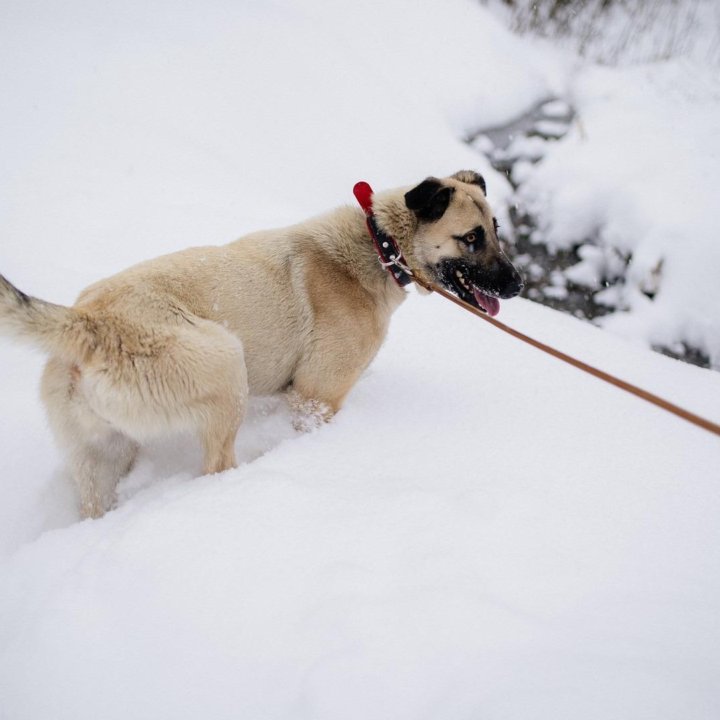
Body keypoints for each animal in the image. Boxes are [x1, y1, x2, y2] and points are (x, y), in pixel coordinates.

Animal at [2, 171, 524, 516]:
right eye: (471, 237)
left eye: (497, 230)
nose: (518, 285)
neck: (380, 247)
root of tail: (87, 321)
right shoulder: (316, 398)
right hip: (225, 365)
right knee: (216, 466)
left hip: (101, 457)